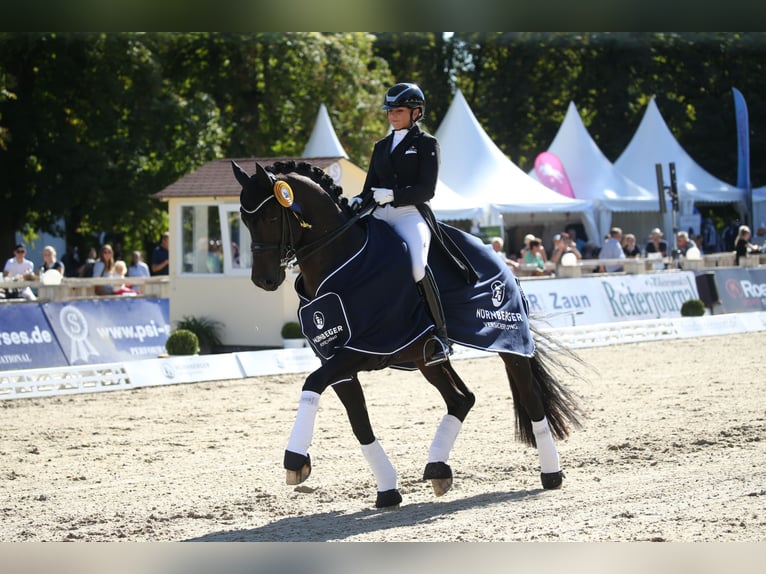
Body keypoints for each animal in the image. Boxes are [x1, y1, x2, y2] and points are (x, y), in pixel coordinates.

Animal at [231, 160, 584, 510]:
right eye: (245, 219)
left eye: (271, 217)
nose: (263, 280)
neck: (340, 262)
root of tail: (498, 258)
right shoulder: (335, 358)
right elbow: (358, 422)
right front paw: (387, 490)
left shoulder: (363, 350)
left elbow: (313, 383)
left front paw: (294, 460)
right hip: (426, 357)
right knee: (461, 399)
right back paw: (438, 469)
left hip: (508, 341)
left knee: (530, 397)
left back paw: (551, 475)